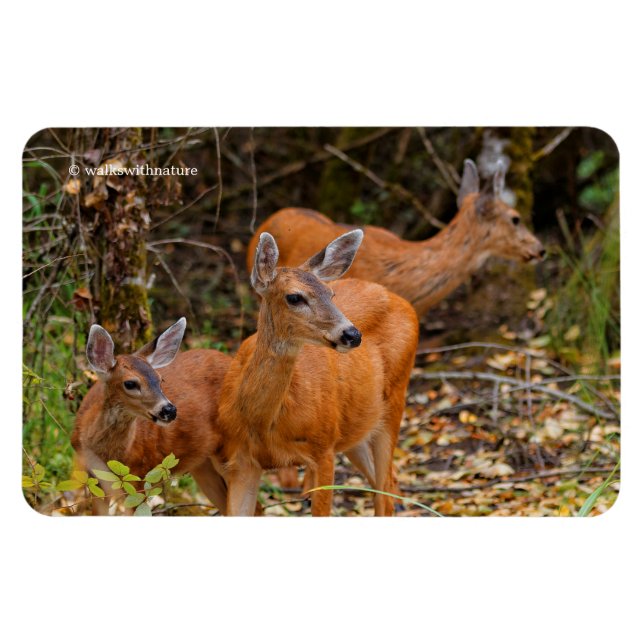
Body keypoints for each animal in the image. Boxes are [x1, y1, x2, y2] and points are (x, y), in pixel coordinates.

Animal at [71, 318, 234, 515]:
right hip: (203, 464)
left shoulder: (139, 475)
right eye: (130, 383)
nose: (170, 410)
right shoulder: (95, 479)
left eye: (160, 379)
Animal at [214, 230, 418, 516]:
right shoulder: (241, 460)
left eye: (331, 294)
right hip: (356, 426)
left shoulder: (323, 449)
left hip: (394, 401)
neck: (263, 424)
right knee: (388, 484)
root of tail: (401, 300)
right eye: (294, 297)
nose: (352, 334)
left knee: (385, 492)